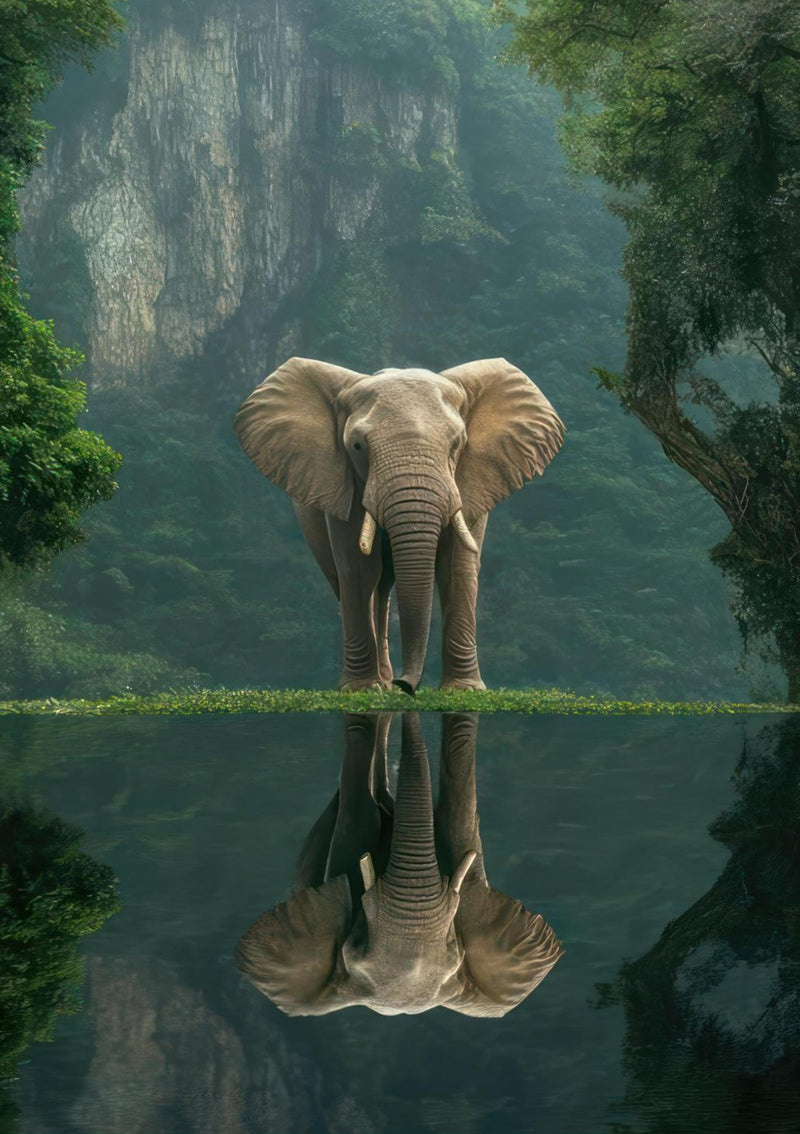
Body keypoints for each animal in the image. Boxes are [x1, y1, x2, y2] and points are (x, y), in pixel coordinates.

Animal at [234, 357, 564, 692]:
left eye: (457, 444)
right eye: (357, 446)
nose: (405, 685)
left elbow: (457, 566)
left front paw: (465, 690)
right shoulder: (342, 483)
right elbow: (357, 568)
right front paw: (361, 690)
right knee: (358, 582)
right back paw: (379, 683)